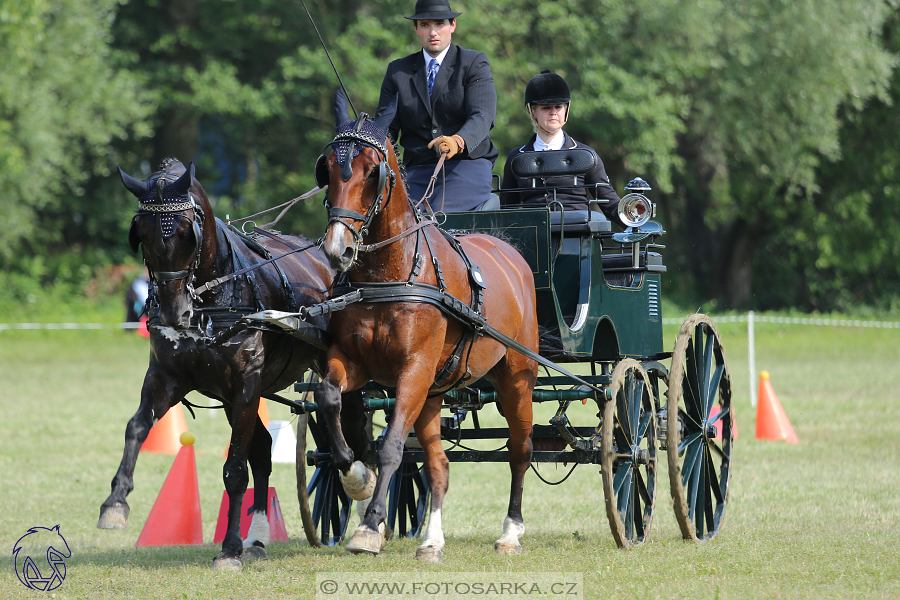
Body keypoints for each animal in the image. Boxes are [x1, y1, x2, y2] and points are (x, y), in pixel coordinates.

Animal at [97, 159, 366, 572]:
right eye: (139, 233)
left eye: (185, 232)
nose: (174, 313)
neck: (213, 299)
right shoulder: (168, 377)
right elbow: (136, 427)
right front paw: (115, 503)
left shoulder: (245, 385)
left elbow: (235, 469)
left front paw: (229, 549)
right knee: (266, 449)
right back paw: (259, 536)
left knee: (354, 427)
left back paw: (363, 488)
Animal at [314, 95, 536, 564]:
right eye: (327, 168)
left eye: (372, 171)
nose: (338, 250)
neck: (389, 274)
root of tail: (508, 249)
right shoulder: (354, 360)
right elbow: (328, 398)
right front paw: (356, 476)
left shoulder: (412, 370)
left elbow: (392, 445)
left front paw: (369, 526)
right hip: (435, 392)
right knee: (439, 465)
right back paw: (432, 541)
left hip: (516, 378)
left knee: (520, 450)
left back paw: (511, 532)